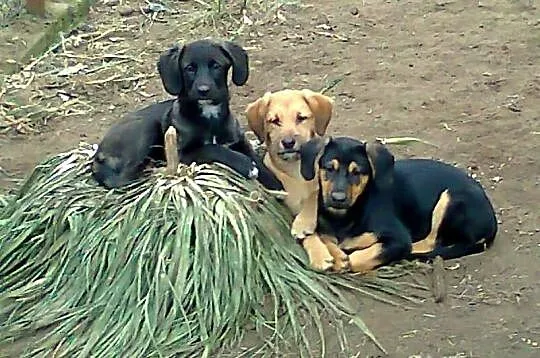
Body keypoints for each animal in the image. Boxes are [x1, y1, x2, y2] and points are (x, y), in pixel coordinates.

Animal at [248, 89, 338, 272]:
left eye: (301, 118)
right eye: (275, 121)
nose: (288, 143)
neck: (297, 170)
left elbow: (314, 194)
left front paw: (304, 222)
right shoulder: (286, 208)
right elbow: (309, 236)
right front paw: (319, 254)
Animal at [300, 136, 498, 272]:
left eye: (357, 172)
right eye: (329, 168)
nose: (338, 198)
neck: (345, 217)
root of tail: (493, 224)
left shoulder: (398, 238)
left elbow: (359, 258)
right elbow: (325, 238)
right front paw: (334, 256)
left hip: (450, 198)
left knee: (430, 242)